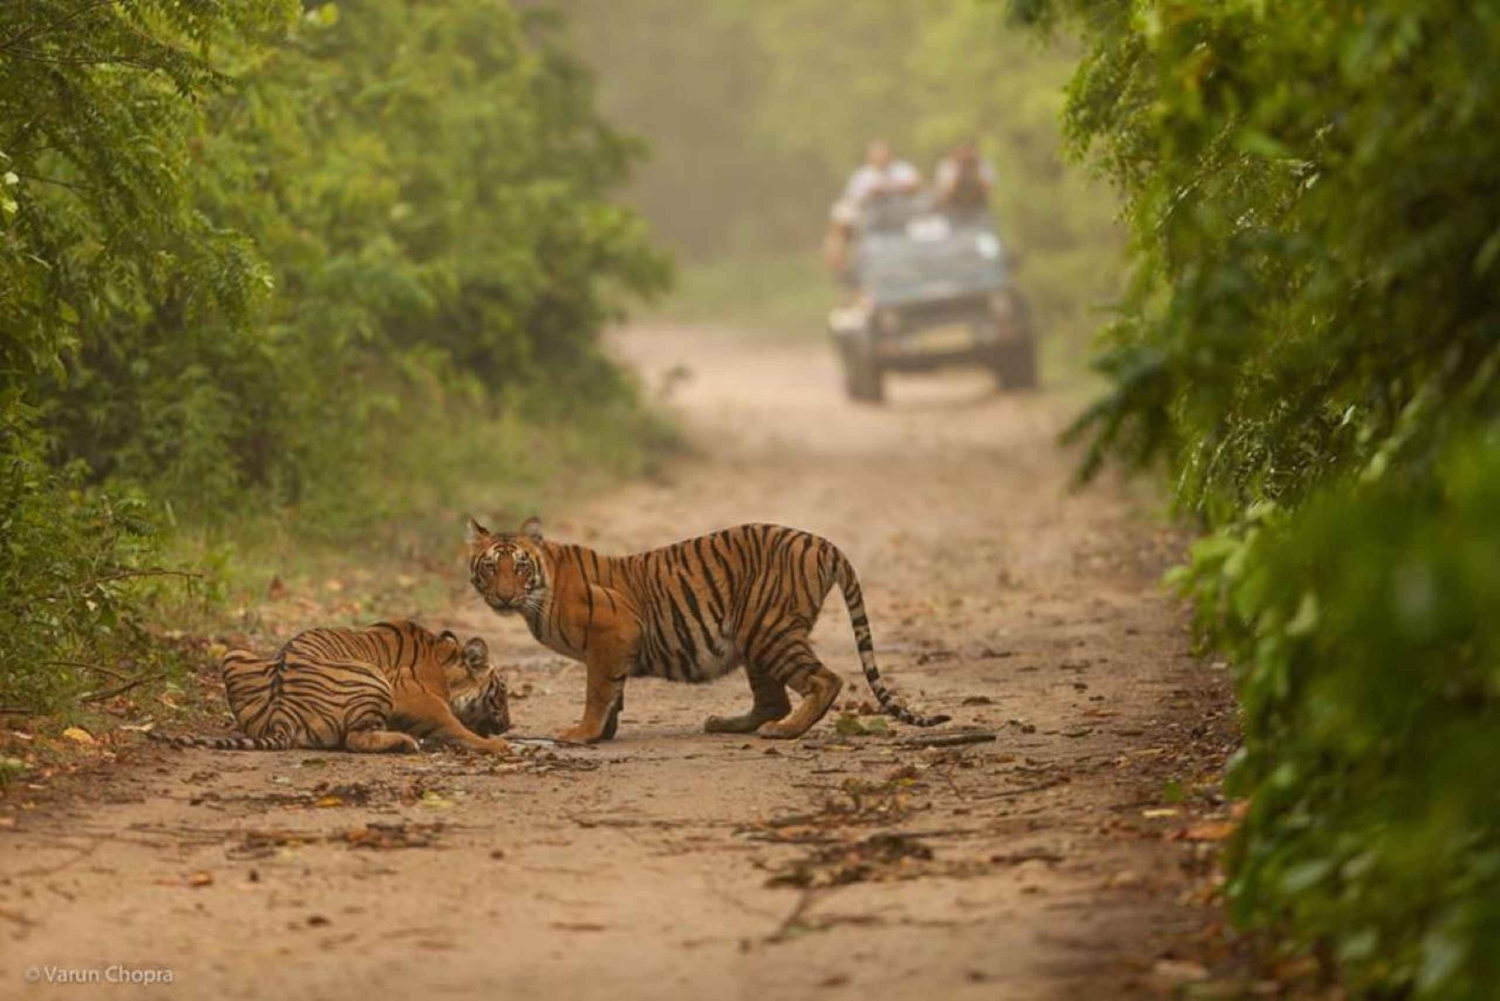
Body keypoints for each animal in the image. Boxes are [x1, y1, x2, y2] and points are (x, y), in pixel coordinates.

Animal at [150, 621, 512, 754]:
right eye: (501, 693)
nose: (510, 725)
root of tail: (282, 714)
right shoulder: (420, 699)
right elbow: (454, 725)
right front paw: (497, 746)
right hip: (373, 677)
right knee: (355, 739)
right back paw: (406, 742)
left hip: (233, 654)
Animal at [465, 517, 948, 744]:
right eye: (490, 567)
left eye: (519, 566)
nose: (503, 597)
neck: (540, 588)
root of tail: (822, 542)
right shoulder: (615, 644)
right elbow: (613, 694)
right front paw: (603, 733)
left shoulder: (612, 632)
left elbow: (598, 692)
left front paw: (582, 735)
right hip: (756, 637)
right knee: (772, 698)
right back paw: (730, 724)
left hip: (768, 630)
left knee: (824, 681)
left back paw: (786, 731)